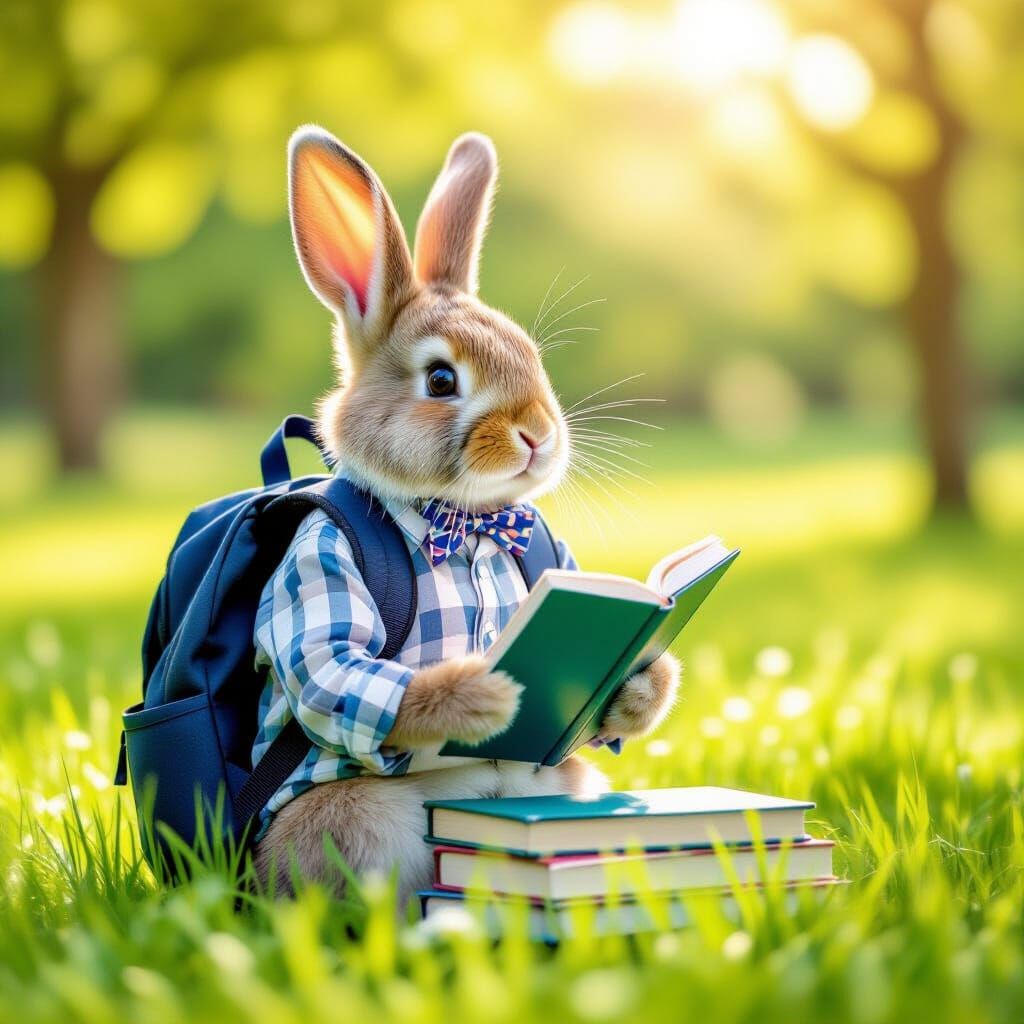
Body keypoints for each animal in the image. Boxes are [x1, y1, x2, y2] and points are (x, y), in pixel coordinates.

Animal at [253, 125, 681, 906]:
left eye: (531, 356)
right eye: (441, 379)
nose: (538, 433)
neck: (462, 521)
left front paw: (638, 689)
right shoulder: (318, 558)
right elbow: (330, 666)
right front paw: (486, 695)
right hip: (360, 820)